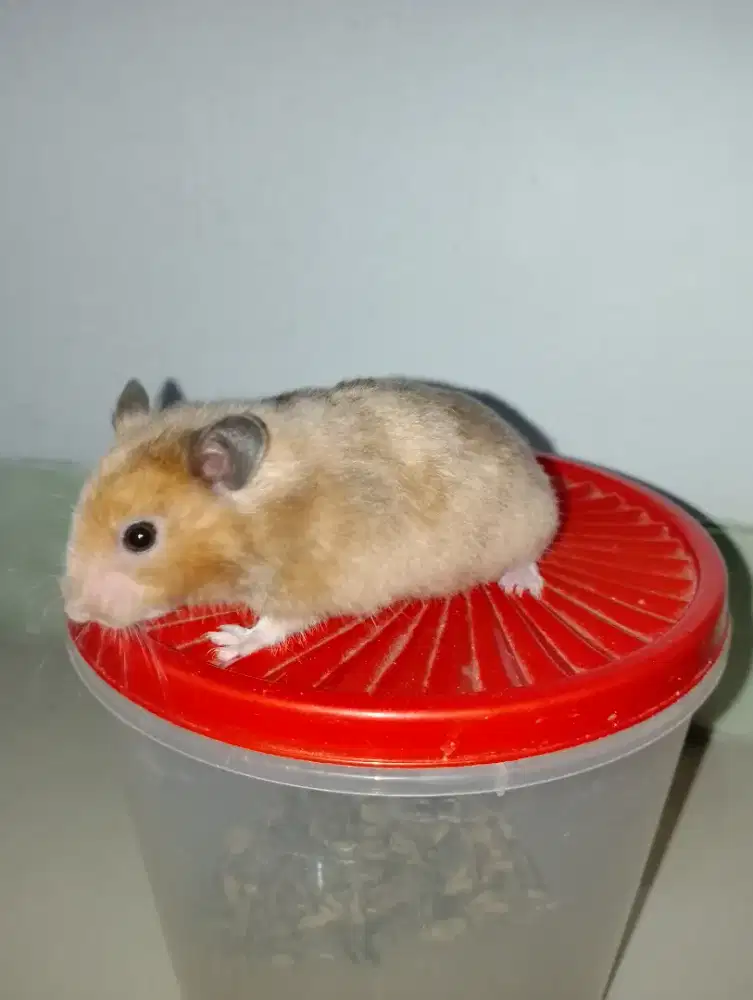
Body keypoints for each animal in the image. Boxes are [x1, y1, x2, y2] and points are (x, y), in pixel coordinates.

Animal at [63, 377, 558, 665]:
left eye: (139, 536)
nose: (73, 612)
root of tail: (527, 452)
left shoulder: (309, 587)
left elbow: (272, 625)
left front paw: (223, 643)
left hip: (528, 522)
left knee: (531, 553)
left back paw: (521, 584)